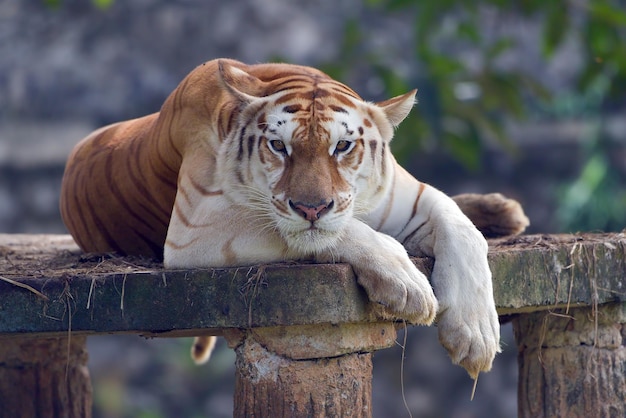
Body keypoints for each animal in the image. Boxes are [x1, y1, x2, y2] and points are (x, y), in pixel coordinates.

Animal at [59, 57, 528, 378]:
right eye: (278, 147)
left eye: (342, 146)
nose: (311, 207)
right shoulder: (197, 228)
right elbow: (335, 231)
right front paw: (407, 285)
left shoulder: (411, 196)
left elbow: (462, 229)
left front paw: (476, 334)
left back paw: (504, 212)